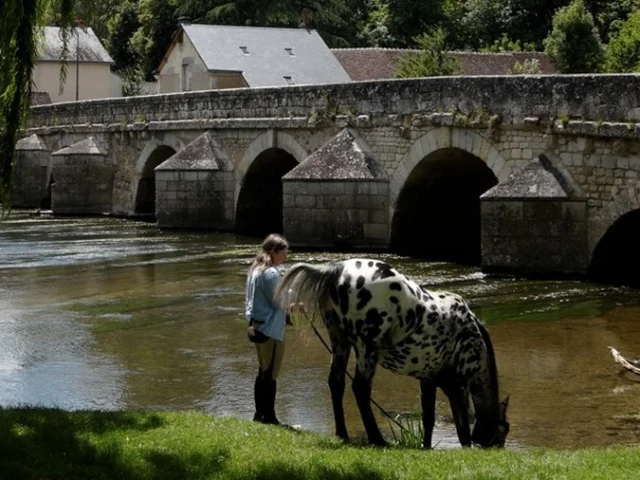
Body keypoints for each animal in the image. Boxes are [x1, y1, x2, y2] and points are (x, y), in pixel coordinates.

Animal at [276, 256, 510, 448]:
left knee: (336, 383)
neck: (473, 333)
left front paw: (426, 447)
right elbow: (461, 426)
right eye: (504, 431)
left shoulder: (429, 379)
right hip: (367, 348)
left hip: (340, 341)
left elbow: (429, 418)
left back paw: (343, 434)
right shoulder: (459, 384)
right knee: (360, 389)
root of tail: (337, 269)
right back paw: (377, 439)